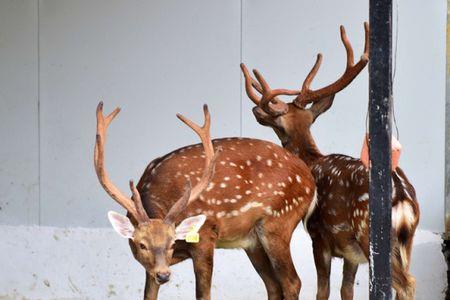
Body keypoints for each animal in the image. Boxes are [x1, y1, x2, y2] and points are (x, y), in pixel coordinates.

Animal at [93, 102, 316, 298]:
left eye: (172, 243)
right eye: (141, 245)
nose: (164, 275)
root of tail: (310, 180)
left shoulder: (206, 235)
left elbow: (203, 294)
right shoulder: (150, 267)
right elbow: (148, 295)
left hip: (279, 220)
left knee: (292, 282)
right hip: (253, 241)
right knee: (273, 285)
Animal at [241, 21, 420, 300]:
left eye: (279, 125)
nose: (257, 110)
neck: (312, 162)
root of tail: (403, 199)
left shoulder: (319, 235)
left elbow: (322, 289)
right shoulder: (350, 253)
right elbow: (346, 289)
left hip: (370, 234)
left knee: (407, 283)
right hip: (407, 242)